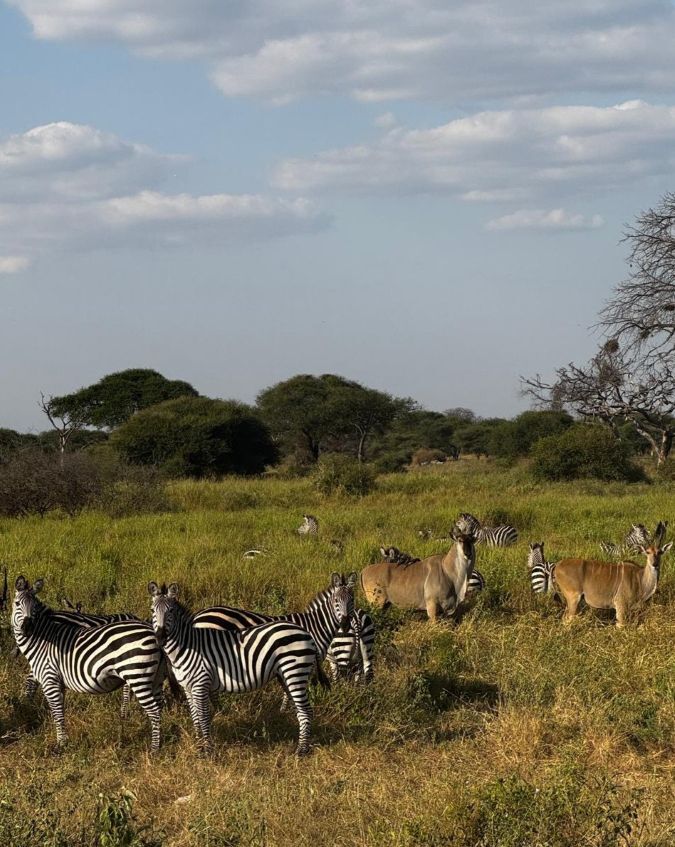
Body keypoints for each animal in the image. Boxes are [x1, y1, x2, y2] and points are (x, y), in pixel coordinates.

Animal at [12, 576, 166, 751]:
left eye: (35, 608)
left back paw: (154, 748)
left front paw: (61, 745)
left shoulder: (49, 679)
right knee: (159, 706)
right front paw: (63, 740)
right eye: (17, 603)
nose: (27, 628)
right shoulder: (58, 681)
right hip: (156, 677)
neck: (44, 639)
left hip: (136, 674)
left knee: (154, 710)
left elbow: (57, 713)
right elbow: (60, 711)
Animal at [148, 581, 327, 756]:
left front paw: (208, 751)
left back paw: (301, 750)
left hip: (295, 672)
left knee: (306, 711)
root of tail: (305, 632)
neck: (187, 645)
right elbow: (195, 718)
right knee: (300, 709)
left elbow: (204, 717)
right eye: (152, 610)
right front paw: (199, 747)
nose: (160, 638)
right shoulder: (188, 687)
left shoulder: (200, 684)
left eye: (171, 611)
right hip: (286, 675)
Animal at [189, 573, 362, 691]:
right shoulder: (307, 659)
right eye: (336, 601)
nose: (345, 624)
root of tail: (199, 615)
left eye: (352, 600)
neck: (316, 625)